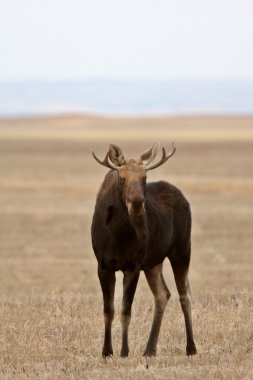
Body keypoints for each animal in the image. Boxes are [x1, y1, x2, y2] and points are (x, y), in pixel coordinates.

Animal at [91, 144, 198, 358]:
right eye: (121, 178)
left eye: (145, 177)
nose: (137, 204)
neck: (118, 232)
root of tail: (183, 198)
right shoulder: (104, 266)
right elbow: (109, 311)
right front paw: (107, 351)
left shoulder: (133, 266)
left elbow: (125, 311)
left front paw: (124, 351)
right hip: (153, 263)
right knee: (163, 294)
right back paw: (150, 349)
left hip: (181, 250)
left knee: (185, 295)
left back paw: (191, 347)